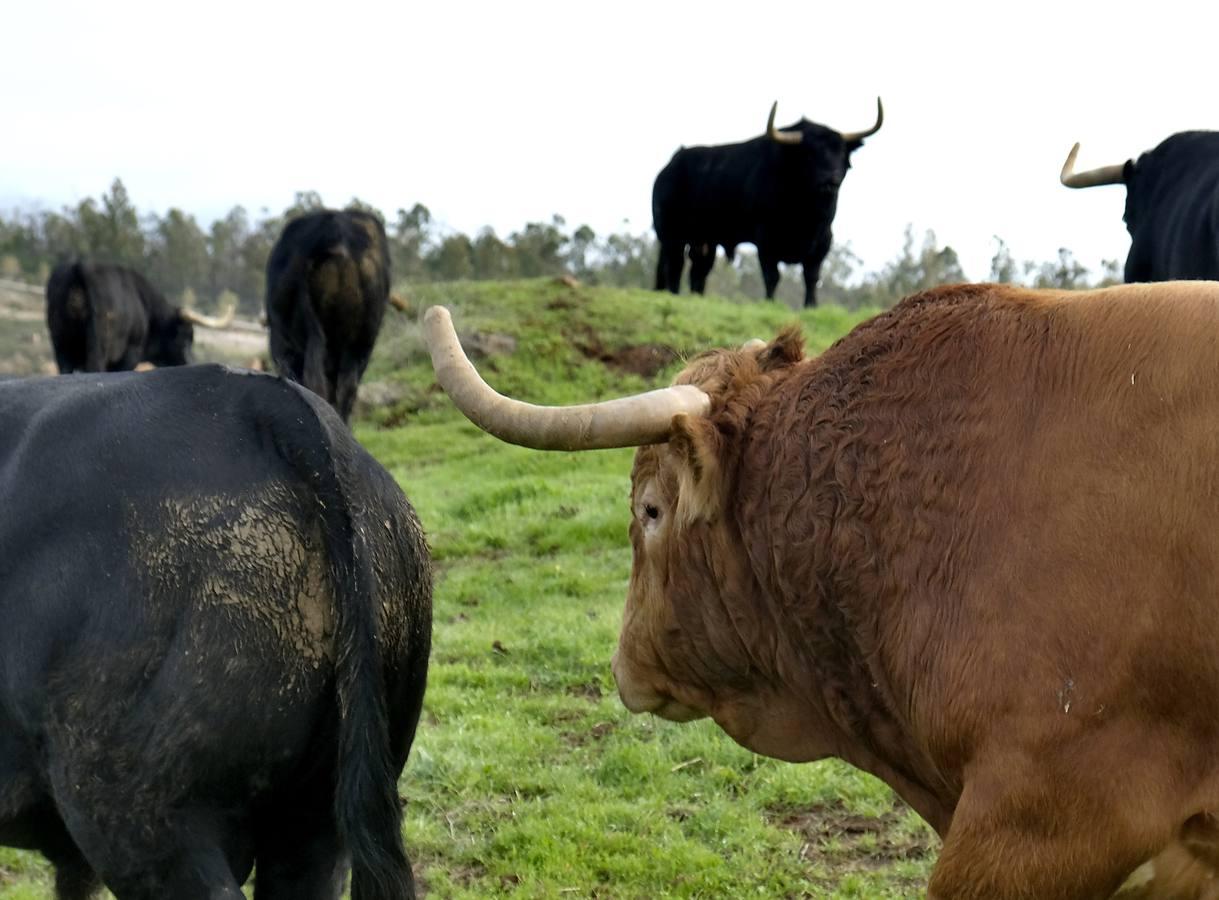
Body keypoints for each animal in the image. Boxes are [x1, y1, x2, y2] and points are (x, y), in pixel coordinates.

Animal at [45, 259, 232, 370]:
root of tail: (81, 266)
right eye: (185, 337)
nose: (190, 362)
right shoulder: (130, 354)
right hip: (97, 348)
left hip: (61, 345)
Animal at [653, 99, 882, 304]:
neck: (808, 215)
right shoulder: (765, 240)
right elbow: (772, 276)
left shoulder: (822, 243)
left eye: (841, 152)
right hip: (672, 235)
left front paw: (810, 306)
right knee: (674, 266)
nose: (831, 179)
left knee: (699, 270)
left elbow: (812, 278)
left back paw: (697, 298)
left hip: (704, 240)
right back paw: (674, 295)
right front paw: (769, 303)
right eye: (810, 153)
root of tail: (669, 167)